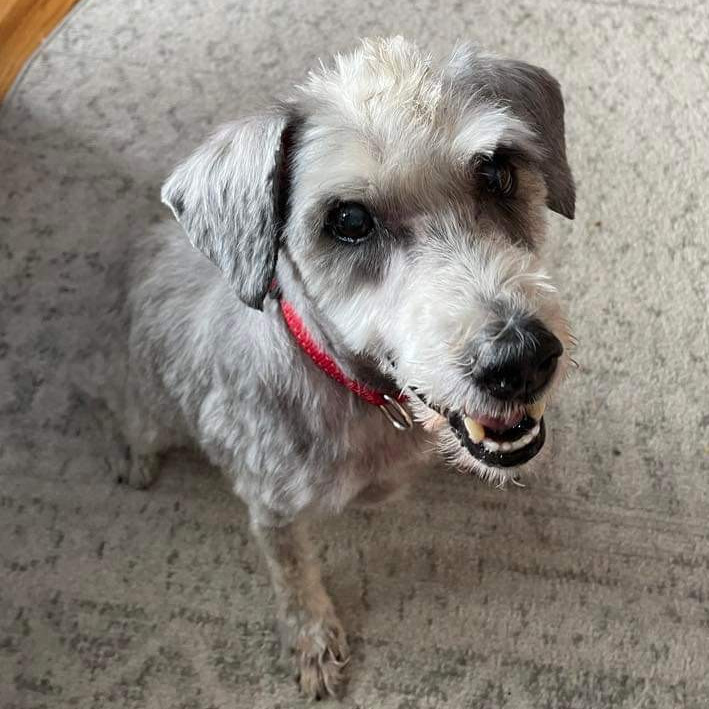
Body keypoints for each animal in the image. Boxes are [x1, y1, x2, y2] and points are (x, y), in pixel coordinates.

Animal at [123, 37, 576, 696]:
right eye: (350, 221)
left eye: (497, 171)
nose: (520, 360)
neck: (363, 398)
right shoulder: (272, 509)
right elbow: (294, 575)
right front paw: (312, 638)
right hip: (150, 406)